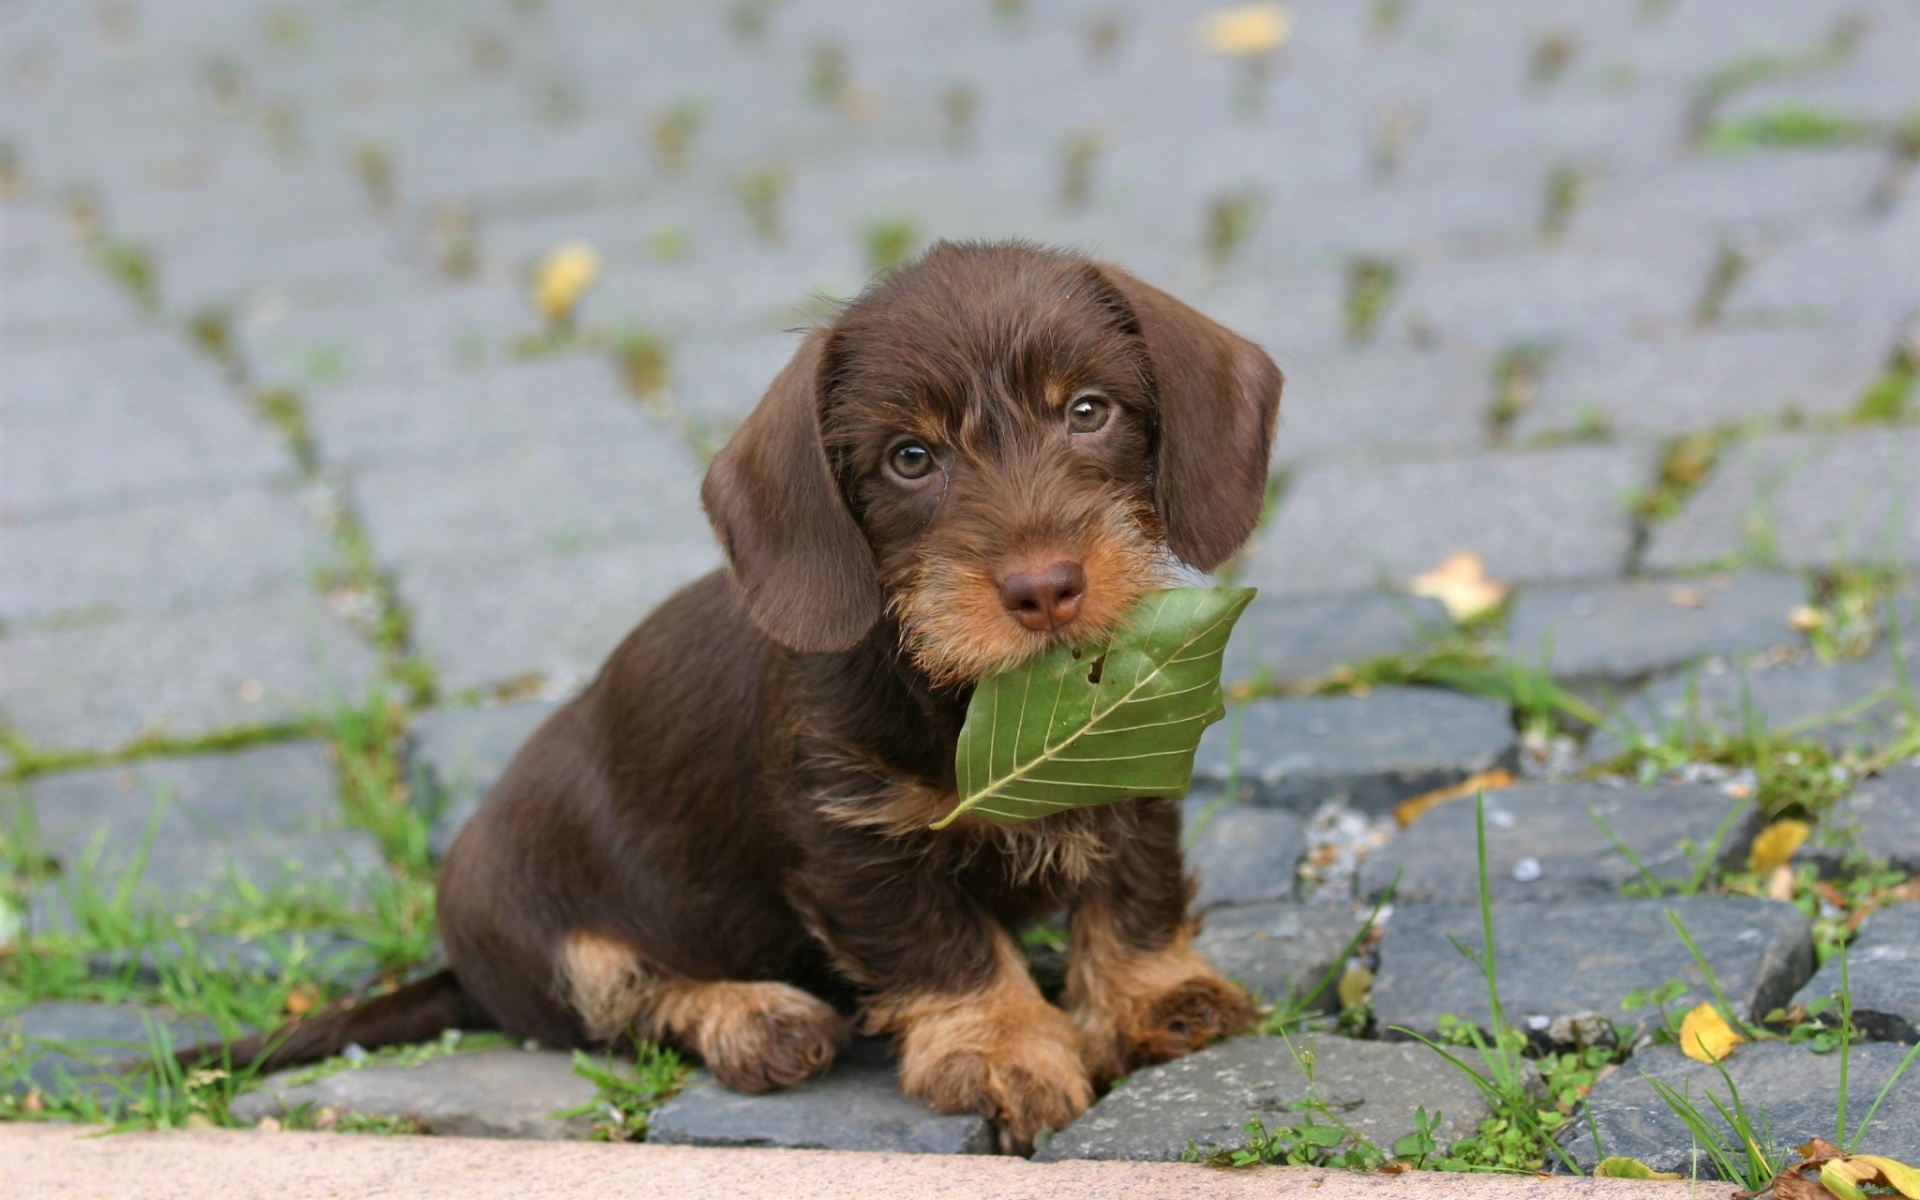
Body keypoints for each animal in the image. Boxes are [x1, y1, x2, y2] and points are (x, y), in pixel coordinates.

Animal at [232, 240, 1282, 1152]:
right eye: (910, 458)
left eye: (1089, 410)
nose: (1045, 588)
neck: (973, 698)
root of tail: (461, 970)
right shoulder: (854, 841)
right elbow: (945, 948)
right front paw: (1002, 1047)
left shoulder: (1135, 763)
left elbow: (1135, 892)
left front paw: (1153, 997)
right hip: (534, 923)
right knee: (626, 1004)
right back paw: (755, 1018)